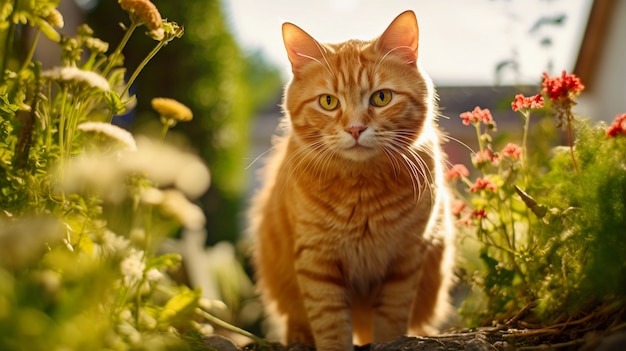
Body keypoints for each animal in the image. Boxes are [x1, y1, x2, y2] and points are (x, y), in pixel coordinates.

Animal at [247, 9, 454, 350]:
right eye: (329, 102)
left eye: (381, 98)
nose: (355, 129)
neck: (362, 189)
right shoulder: (318, 262)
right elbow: (330, 324)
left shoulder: (405, 260)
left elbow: (390, 322)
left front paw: (391, 341)